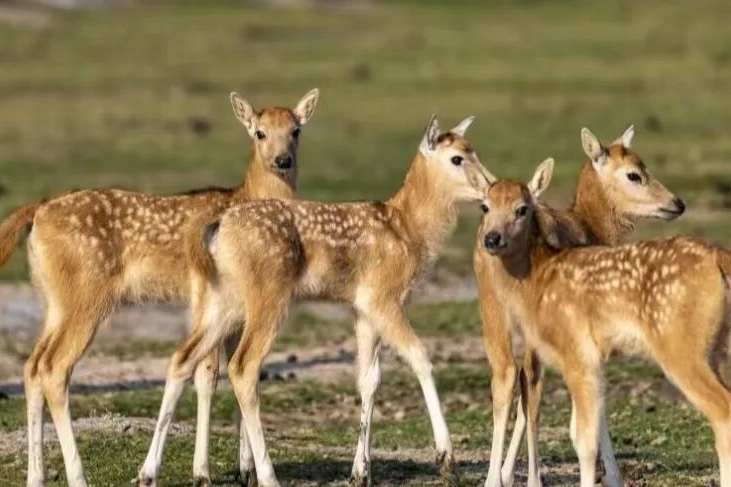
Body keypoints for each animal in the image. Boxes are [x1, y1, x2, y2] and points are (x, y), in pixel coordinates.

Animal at [0, 89, 320, 487]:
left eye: (296, 131)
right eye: (259, 132)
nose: (282, 160)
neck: (243, 197)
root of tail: (37, 212)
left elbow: (239, 371)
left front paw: (244, 469)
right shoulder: (204, 295)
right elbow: (207, 373)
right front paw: (202, 472)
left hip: (53, 300)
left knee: (31, 366)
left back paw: (36, 476)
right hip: (86, 297)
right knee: (54, 368)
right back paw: (78, 476)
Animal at [134, 114, 494, 487]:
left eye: (473, 150)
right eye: (457, 158)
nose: (491, 188)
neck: (409, 232)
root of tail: (215, 230)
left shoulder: (361, 308)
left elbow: (369, 378)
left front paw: (360, 472)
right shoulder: (383, 296)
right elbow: (420, 357)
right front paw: (446, 458)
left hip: (223, 300)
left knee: (183, 358)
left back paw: (148, 472)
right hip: (268, 295)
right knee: (243, 367)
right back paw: (267, 476)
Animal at [475, 158, 731, 487]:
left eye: (522, 208)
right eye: (484, 206)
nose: (492, 238)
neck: (536, 281)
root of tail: (720, 258)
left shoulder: (577, 354)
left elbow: (583, 439)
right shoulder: (589, 360)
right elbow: (580, 431)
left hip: (681, 347)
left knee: (722, 412)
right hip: (716, 347)